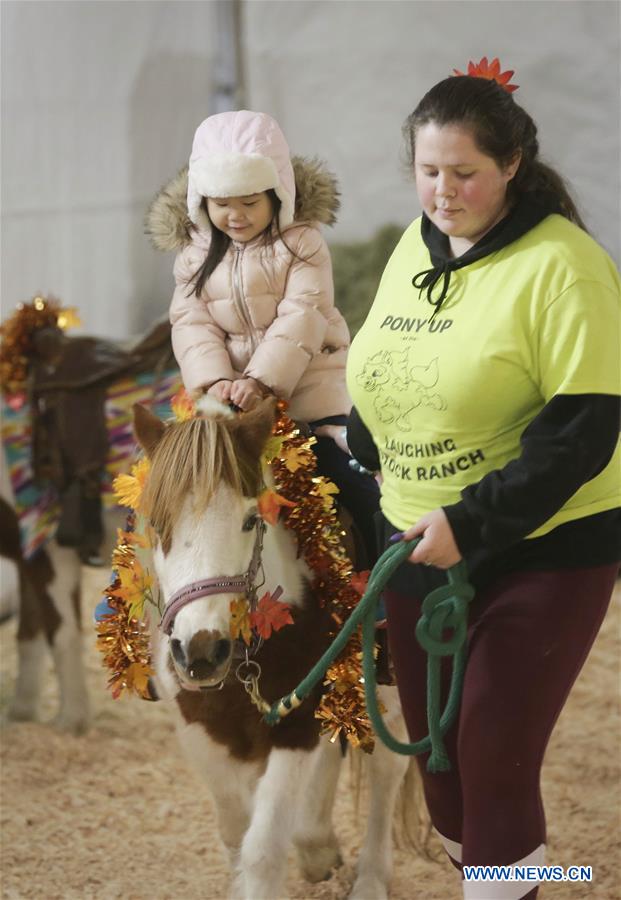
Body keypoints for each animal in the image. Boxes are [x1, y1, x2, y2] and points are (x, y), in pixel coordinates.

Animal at [134, 396, 416, 900]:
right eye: (159, 523)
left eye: (250, 520)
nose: (201, 650)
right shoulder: (199, 725)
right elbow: (234, 831)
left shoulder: (294, 723)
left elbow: (262, 848)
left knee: (386, 768)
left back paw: (370, 877)